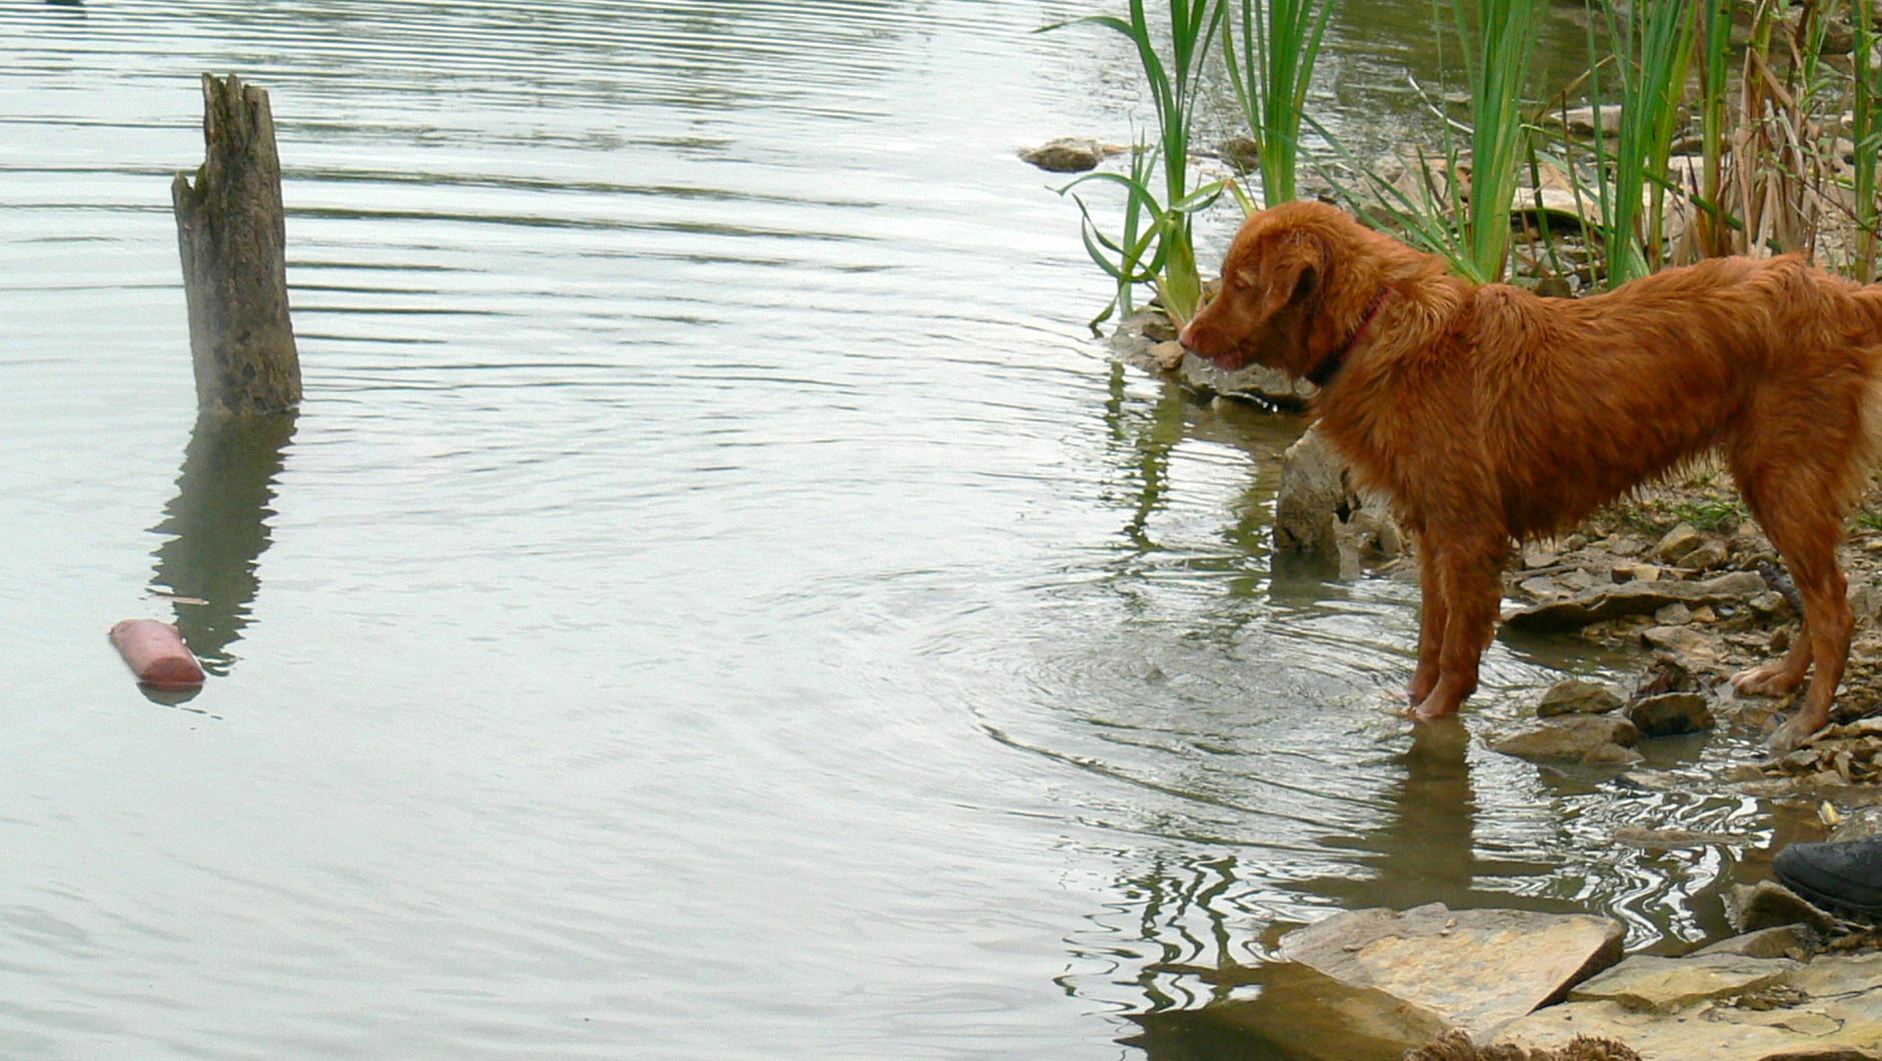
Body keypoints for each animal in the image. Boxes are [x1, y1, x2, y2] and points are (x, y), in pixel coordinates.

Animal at [1181, 199, 1882, 744]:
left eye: (1238, 282)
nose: (1185, 338)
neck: (1376, 323)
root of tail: (1842, 295)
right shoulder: (1433, 529)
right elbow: (1430, 636)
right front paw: (1410, 705)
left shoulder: (1469, 533)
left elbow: (1458, 647)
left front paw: (1435, 717)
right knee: (1826, 597)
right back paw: (1780, 680)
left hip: (1780, 476)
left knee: (1834, 609)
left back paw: (1807, 721)